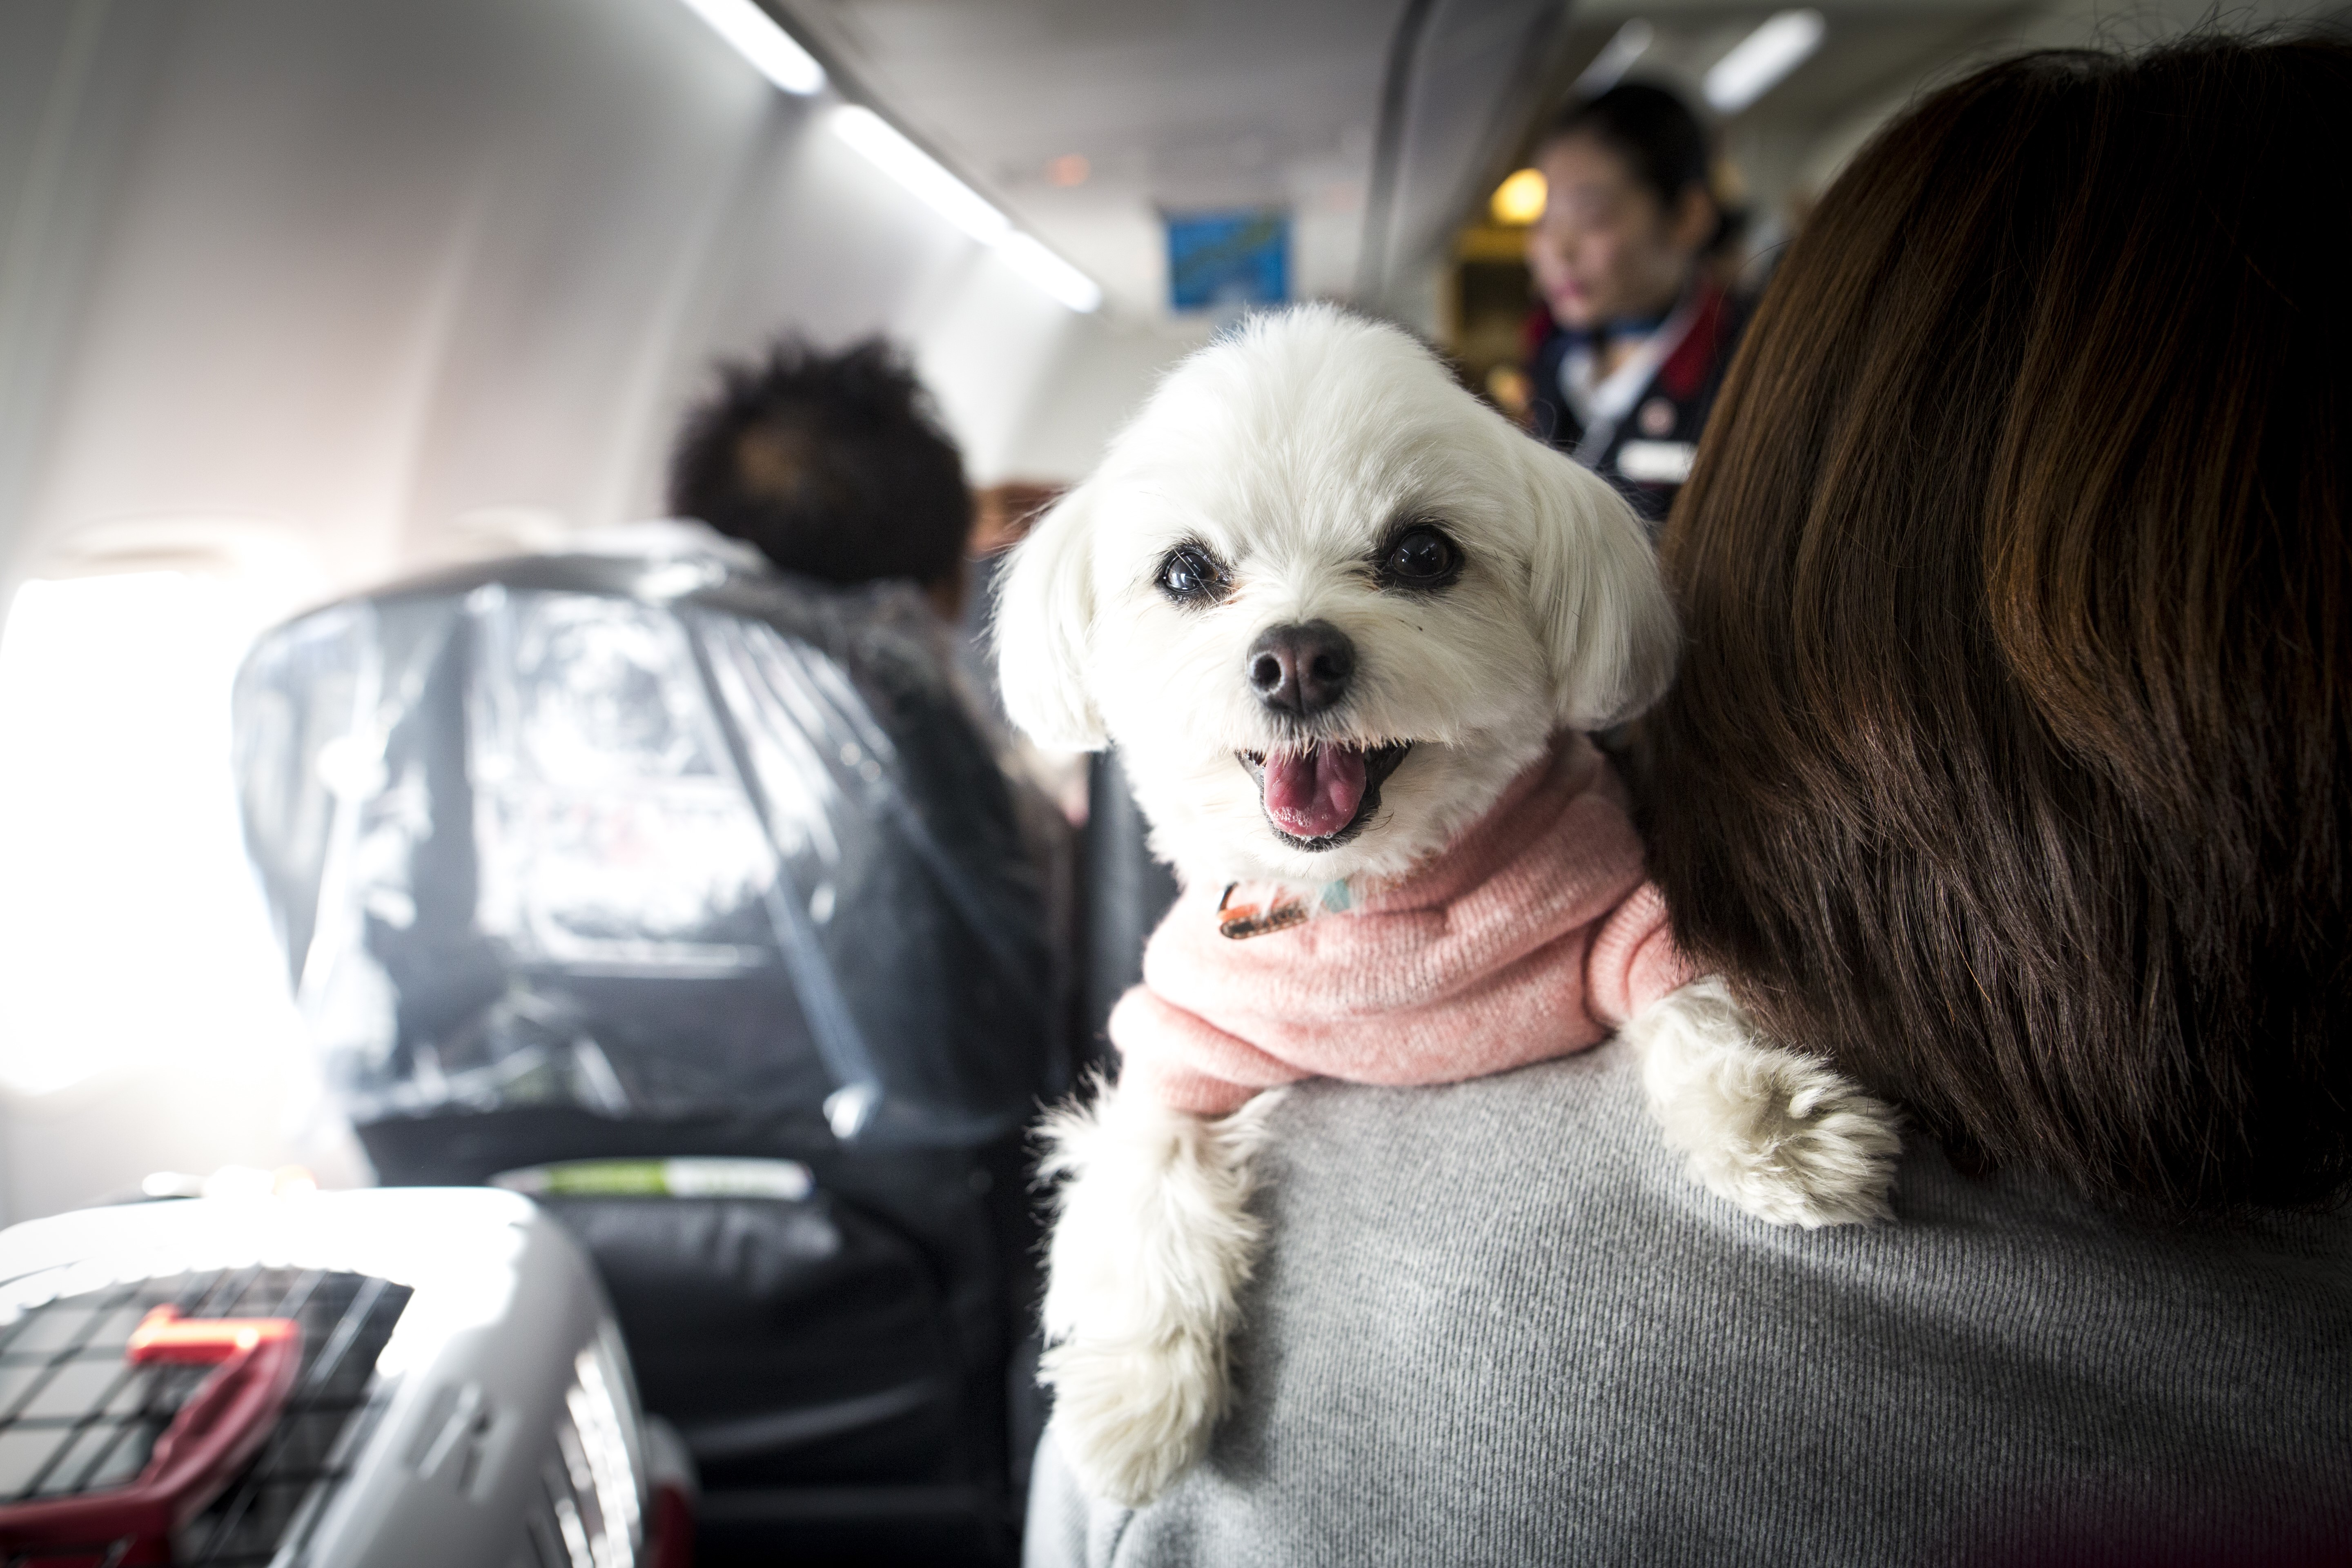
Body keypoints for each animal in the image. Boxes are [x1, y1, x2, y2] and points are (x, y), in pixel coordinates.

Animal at [988, 303, 1891, 1504]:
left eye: (1422, 554)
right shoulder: (1182, 1035)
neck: (1371, 901)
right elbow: (1149, 1174)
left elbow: (1687, 1001)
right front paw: (1135, 1394)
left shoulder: (1615, 906)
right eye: (1186, 572)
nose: (1296, 658)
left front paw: (1778, 1131)